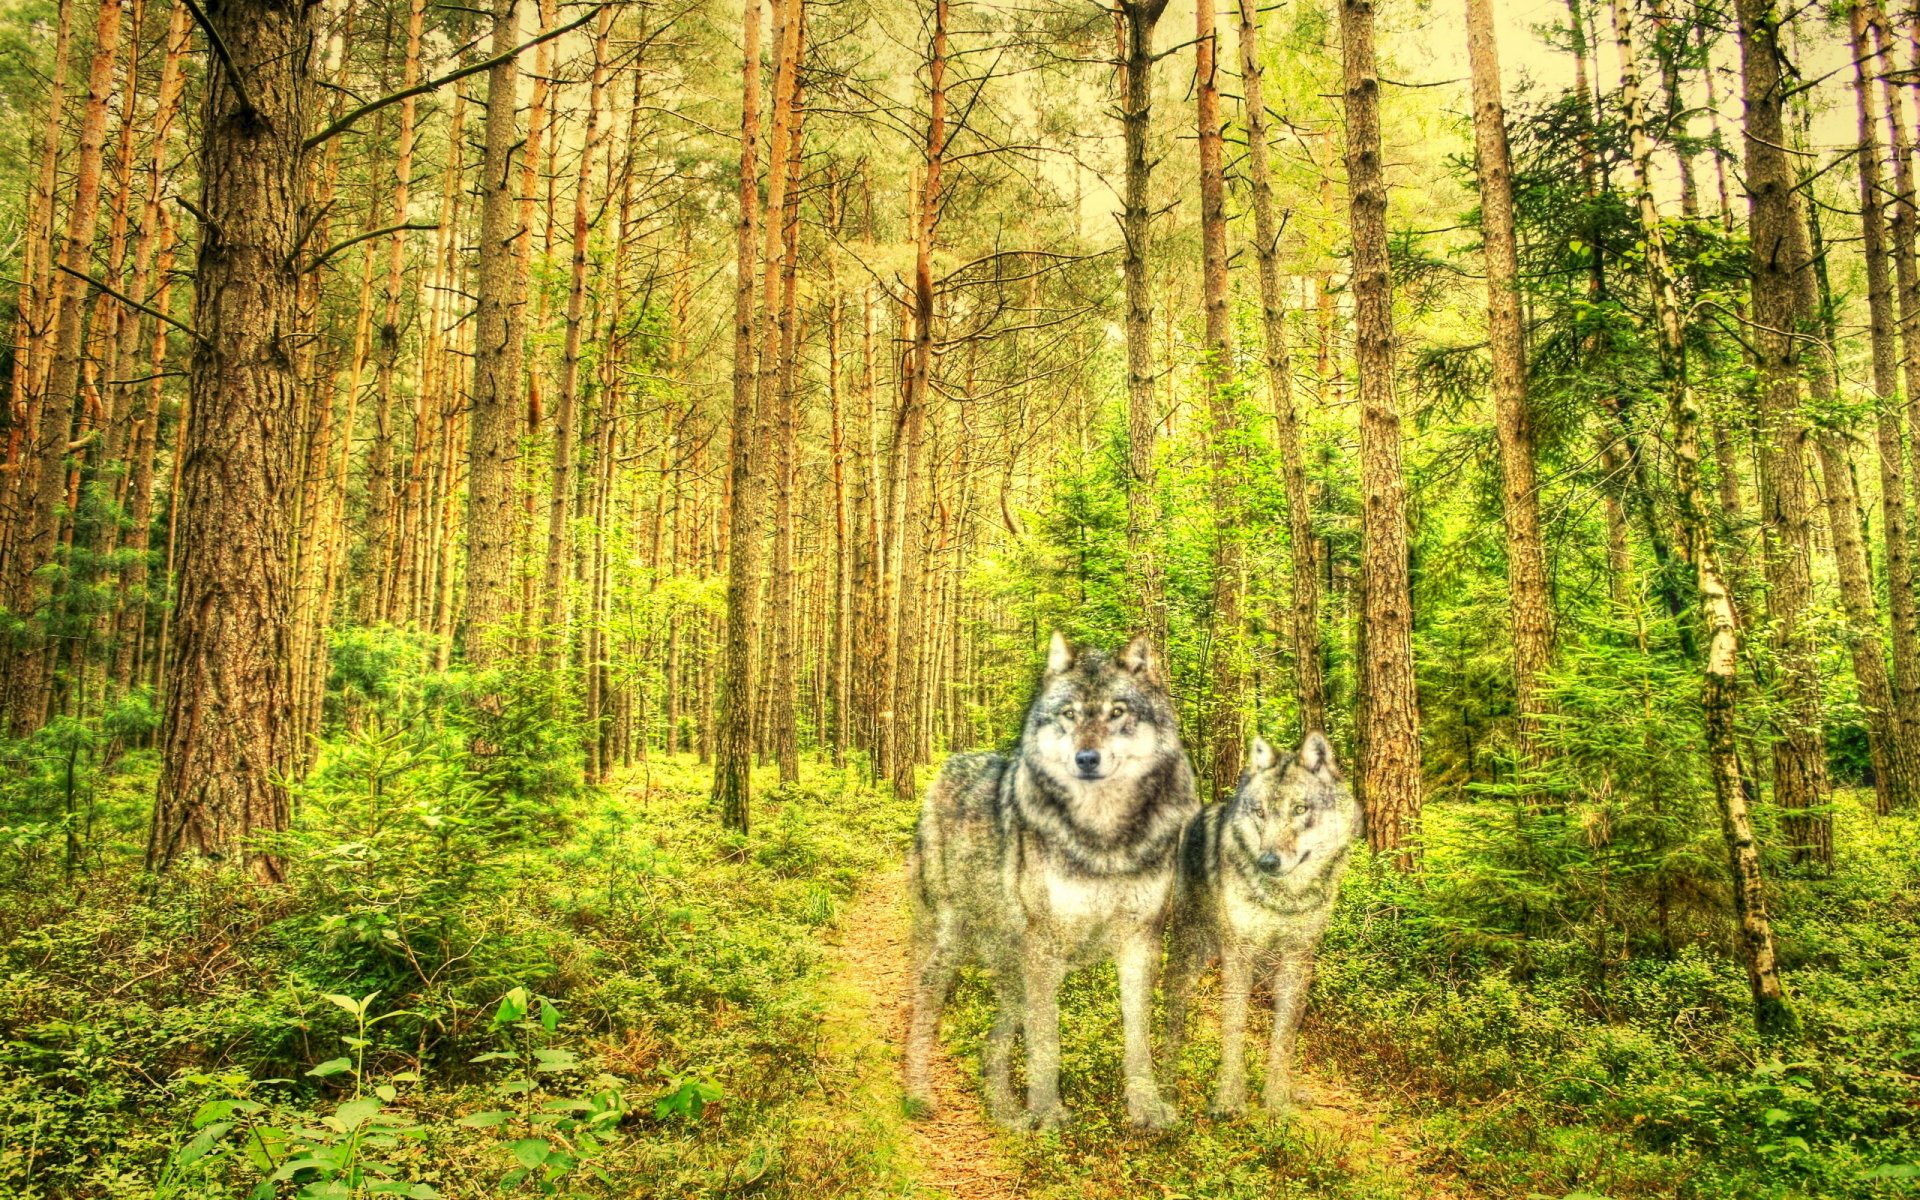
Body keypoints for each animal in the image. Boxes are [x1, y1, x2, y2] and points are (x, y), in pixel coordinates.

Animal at [904, 631, 1199, 1130]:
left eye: (1117, 712)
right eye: (1069, 714)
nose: (1086, 758)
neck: (1103, 842)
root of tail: (948, 765)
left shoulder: (1141, 942)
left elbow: (1138, 1038)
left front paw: (1146, 1108)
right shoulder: (1045, 948)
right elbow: (1047, 1042)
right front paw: (1048, 1115)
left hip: (1009, 971)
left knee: (992, 1042)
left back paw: (1006, 1114)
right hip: (952, 944)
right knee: (923, 1006)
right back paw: (918, 1094)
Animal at [1164, 732, 1361, 1117]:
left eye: (1300, 809)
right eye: (1260, 812)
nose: (1267, 862)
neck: (1285, 898)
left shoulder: (1299, 959)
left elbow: (1285, 1034)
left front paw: (1278, 1098)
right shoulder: (1239, 956)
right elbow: (1233, 1027)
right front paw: (1229, 1099)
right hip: (1190, 948)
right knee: (1170, 1006)